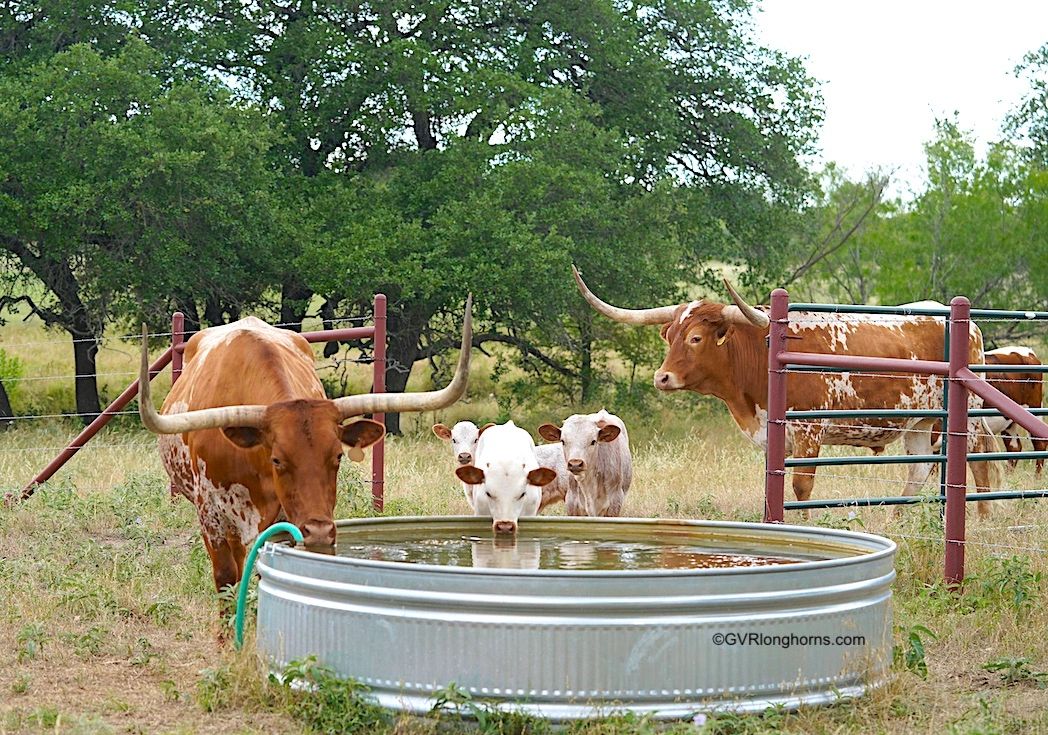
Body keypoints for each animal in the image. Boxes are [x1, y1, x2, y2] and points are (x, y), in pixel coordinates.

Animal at [571, 267, 999, 515]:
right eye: (670, 335)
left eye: (695, 338)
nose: (662, 378)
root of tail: (970, 325)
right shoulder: (772, 438)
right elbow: (770, 486)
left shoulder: (810, 433)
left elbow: (801, 486)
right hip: (918, 421)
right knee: (919, 470)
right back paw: (898, 520)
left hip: (969, 417)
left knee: (978, 461)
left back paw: (982, 517)